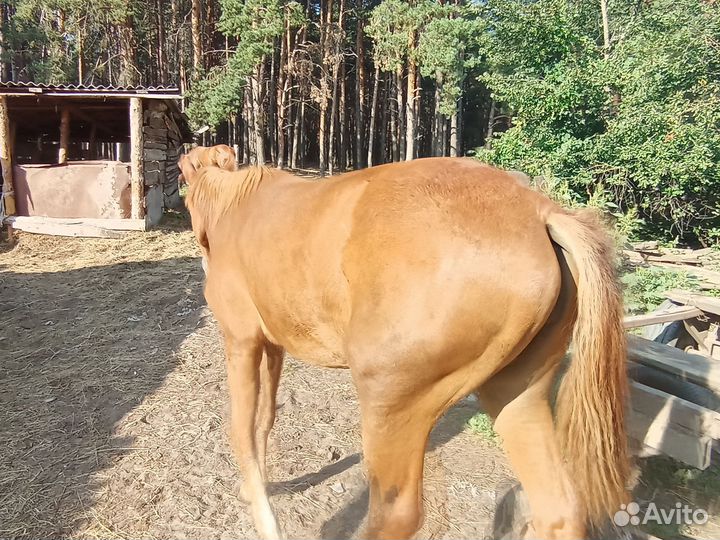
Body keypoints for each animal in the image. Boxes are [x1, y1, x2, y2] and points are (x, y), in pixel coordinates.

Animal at [179, 149, 630, 540]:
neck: (235, 207)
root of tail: (539, 212)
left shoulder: (240, 341)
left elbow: (241, 429)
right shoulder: (271, 345)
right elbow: (264, 419)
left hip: (391, 402)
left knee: (397, 515)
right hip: (517, 394)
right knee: (560, 510)